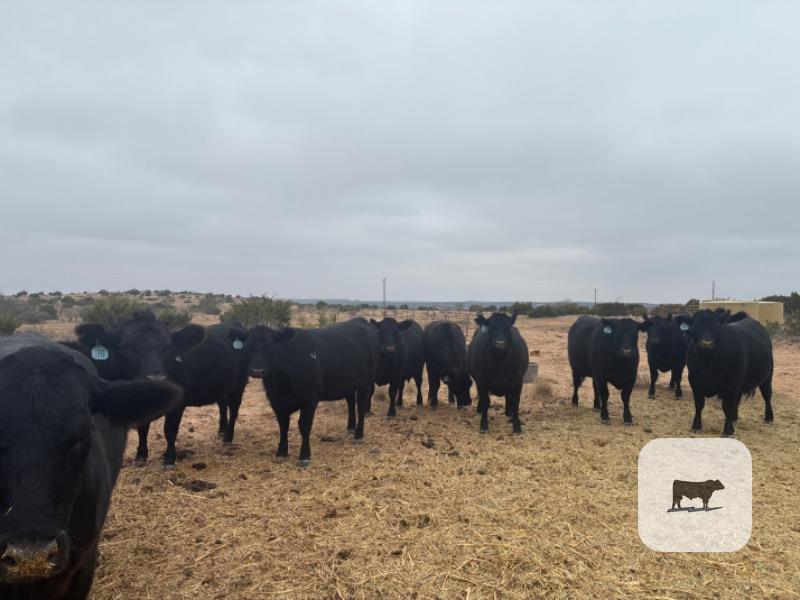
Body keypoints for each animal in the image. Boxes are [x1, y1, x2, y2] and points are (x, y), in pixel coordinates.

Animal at [73, 310, 247, 467]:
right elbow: (142, 429)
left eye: (168, 348)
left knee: (234, 409)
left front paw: (169, 459)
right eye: (128, 348)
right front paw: (140, 456)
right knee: (222, 405)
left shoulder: (178, 404)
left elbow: (170, 430)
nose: (156, 380)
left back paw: (227, 438)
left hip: (240, 383)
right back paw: (221, 431)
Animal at [237, 318, 379, 466]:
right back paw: (350, 428)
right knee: (351, 403)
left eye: (271, 346)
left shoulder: (310, 399)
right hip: (349, 383)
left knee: (361, 407)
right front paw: (281, 452)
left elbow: (304, 425)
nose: (257, 371)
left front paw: (304, 455)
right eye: (248, 346)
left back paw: (358, 435)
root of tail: (360, 320)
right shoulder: (276, 401)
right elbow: (283, 425)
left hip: (366, 382)